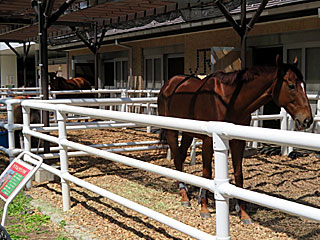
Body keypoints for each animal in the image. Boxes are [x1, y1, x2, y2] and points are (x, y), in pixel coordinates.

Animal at [158, 55, 312, 224]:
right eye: (291, 85)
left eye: (304, 85)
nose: (307, 120)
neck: (229, 101)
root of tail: (168, 85)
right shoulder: (208, 141)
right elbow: (207, 172)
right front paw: (204, 208)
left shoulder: (238, 141)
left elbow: (239, 175)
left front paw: (244, 214)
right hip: (172, 131)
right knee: (177, 158)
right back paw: (184, 196)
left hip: (188, 133)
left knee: (180, 155)